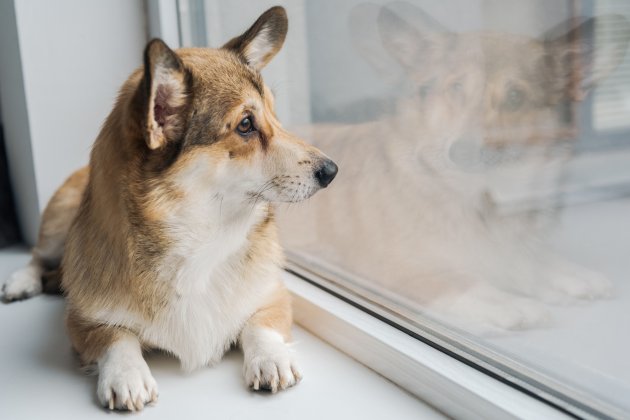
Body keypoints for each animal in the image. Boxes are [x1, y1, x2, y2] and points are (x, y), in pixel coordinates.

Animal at [2, 6, 338, 412]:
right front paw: (127, 375)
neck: (203, 237)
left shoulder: (272, 294)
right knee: (37, 255)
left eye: (274, 115)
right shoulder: (83, 322)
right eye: (245, 125)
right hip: (57, 221)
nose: (332, 171)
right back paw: (20, 282)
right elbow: (116, 338)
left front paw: (271, 358)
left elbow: (260, 323)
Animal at [282, 1, 630, 334]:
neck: (480, 198)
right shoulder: (392, 267)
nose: (463, 152)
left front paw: (568, 274)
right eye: (457, 88)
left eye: (515, 97)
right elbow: (460, 283)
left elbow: (530, 261)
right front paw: (511, 305)